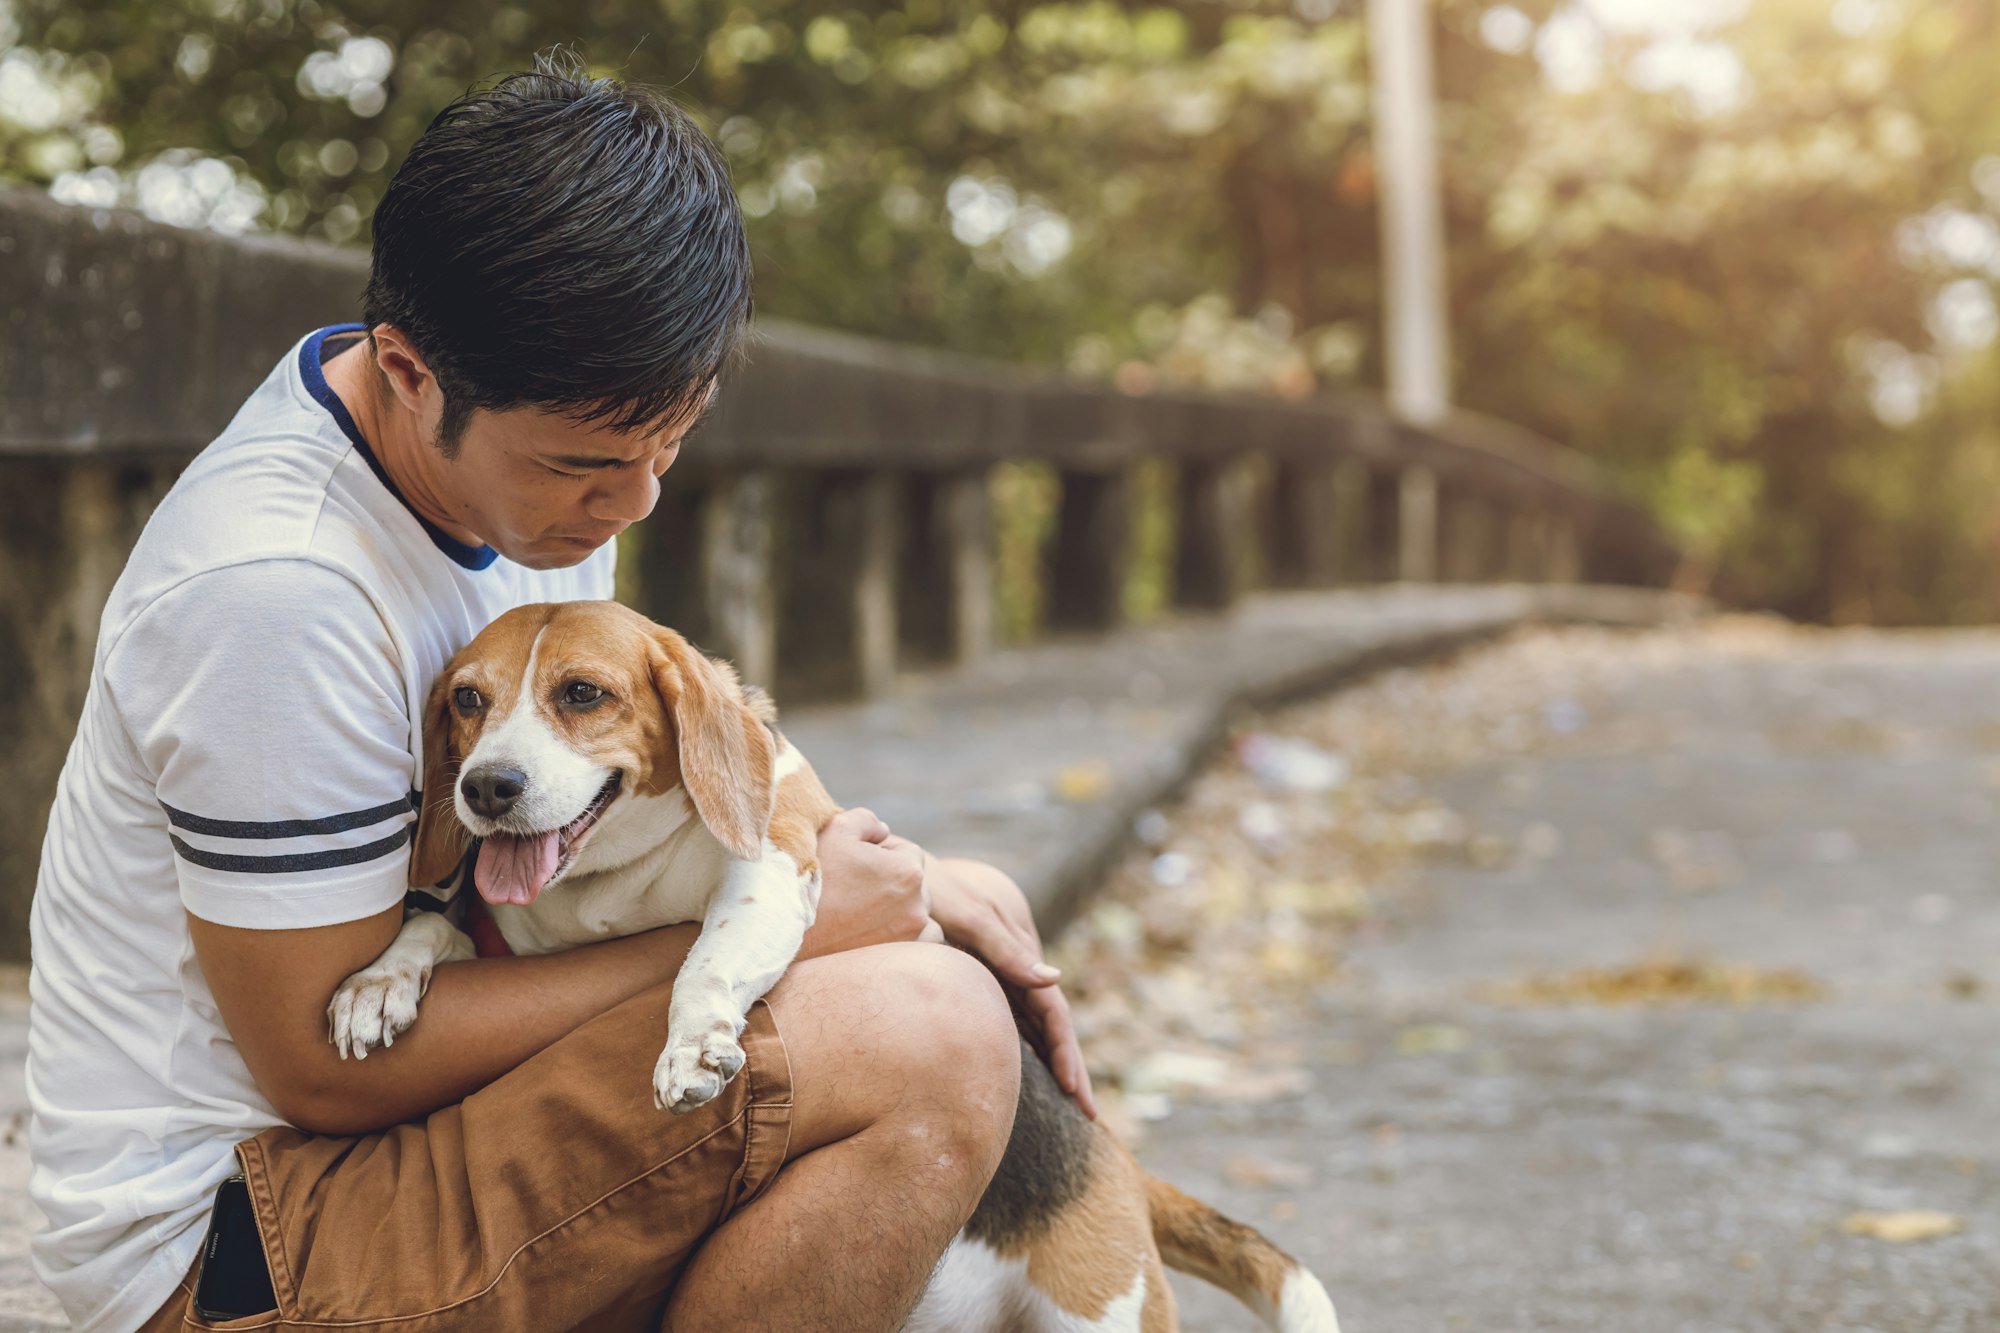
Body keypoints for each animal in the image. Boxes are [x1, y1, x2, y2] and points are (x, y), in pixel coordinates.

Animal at [328, 600, 1336, 1328]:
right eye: (469, 700)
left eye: (582, 693)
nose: (486, 788)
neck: (607, 880)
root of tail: (1114, 1154)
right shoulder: (500, 932)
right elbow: (434, 931)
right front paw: (378, 984)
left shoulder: (773, 867)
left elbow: (705, 957)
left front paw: (692, 1046)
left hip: (1101, 1310)